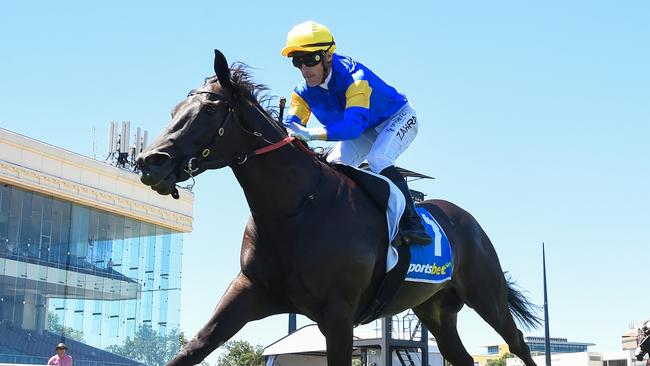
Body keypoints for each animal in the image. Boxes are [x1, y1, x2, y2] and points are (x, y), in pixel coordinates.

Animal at [135, 49, 536, 366]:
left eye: (206, 111)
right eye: (175, 110)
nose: (149, 161)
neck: (294, 210)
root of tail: (466, 219)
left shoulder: (339, 315)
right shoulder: (249, 292)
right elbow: (194, 348)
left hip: (486, 293)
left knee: (518, 342)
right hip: (435, 308)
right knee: (461, 356)